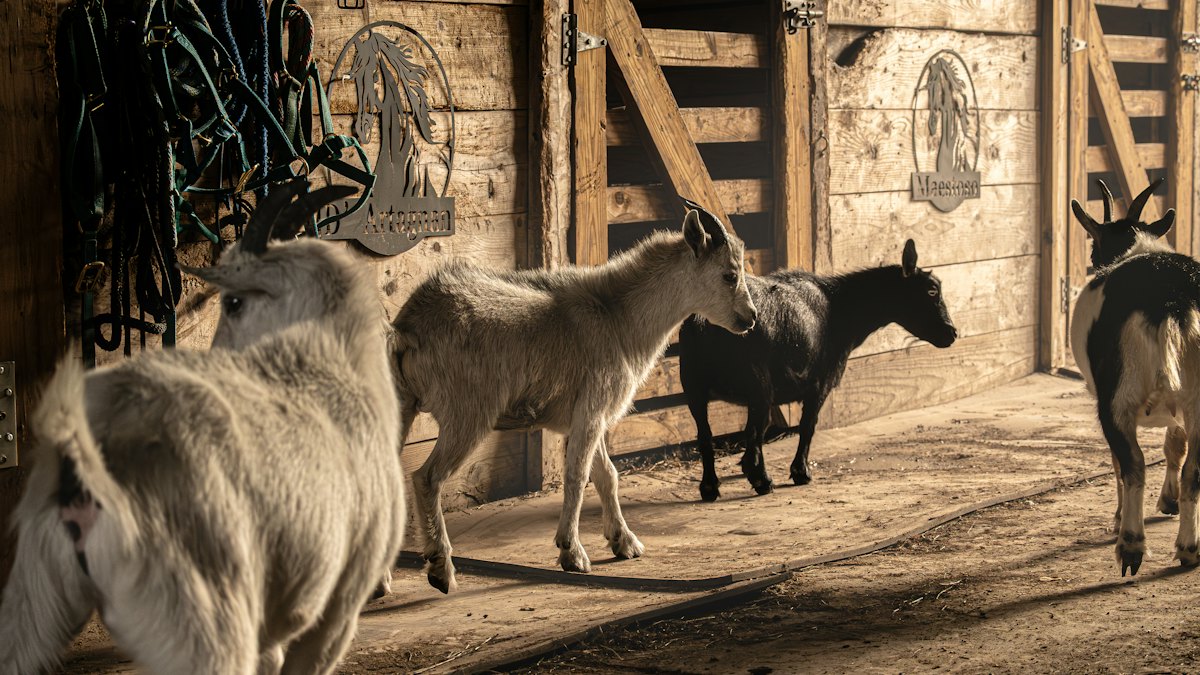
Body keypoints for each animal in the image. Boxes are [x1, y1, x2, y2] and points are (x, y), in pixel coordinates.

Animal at [393, 201, 758, 593]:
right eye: (729, 275)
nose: (751, 318)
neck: (618, 317)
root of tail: (411, 327)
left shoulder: (587, 416)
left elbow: (607, 474)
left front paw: (624, 542)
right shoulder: (593, 409)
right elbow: (578, 476)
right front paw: (572, 552)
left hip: (400, 404)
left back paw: (382, 582)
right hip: (468, 412)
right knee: (427, 478)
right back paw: (440, 570)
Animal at [679, 239, 958, 501]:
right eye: (931, 290)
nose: (952, 333)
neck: (840, 308)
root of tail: (704, 323)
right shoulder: (821, 382)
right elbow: (808, 426)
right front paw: (801, 473)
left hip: (694, 385)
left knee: (706, 436)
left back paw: (710, 488)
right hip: (758, 384)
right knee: (753, 432)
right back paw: (762, 481)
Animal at [1069, 177, 1200, 576]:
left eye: (1093, 248)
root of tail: (1170, 300)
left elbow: (1118, 462)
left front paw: (1117, 518)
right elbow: (1175, 444)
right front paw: (1169, 500)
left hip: (1117, 395)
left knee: (1133, 465)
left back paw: (1130, 545)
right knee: (1193, 469)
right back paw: (1188, 548)